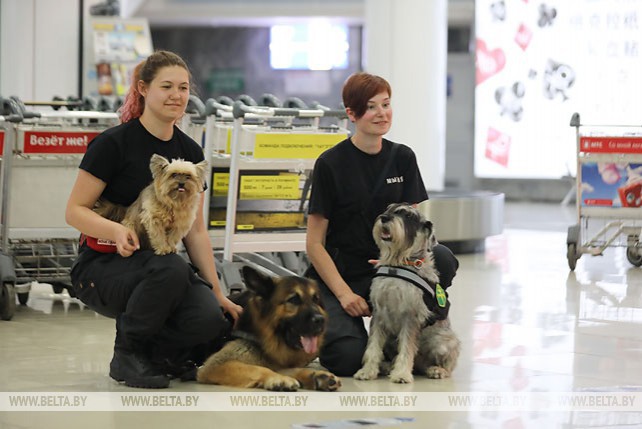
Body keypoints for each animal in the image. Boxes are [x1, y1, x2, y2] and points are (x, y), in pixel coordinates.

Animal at [196, 266, 340, 390]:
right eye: (294, 299)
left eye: (315, 299)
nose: (321, 320)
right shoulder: (214, 365)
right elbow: (257, 368)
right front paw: (278, 378)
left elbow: (290, 369)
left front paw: (316, 375)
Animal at [352, 202, 458, 382]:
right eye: (388, 208)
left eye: (409, 216)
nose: (384, 218)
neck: (398, 264)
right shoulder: (379, 313)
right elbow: (373, 346)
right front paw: (367, 371)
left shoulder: (410, 316)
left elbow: (407, 347)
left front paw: (401, 374)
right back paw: (387, 366)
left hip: (443, 342)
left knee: (446, 362)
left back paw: (437, 370)